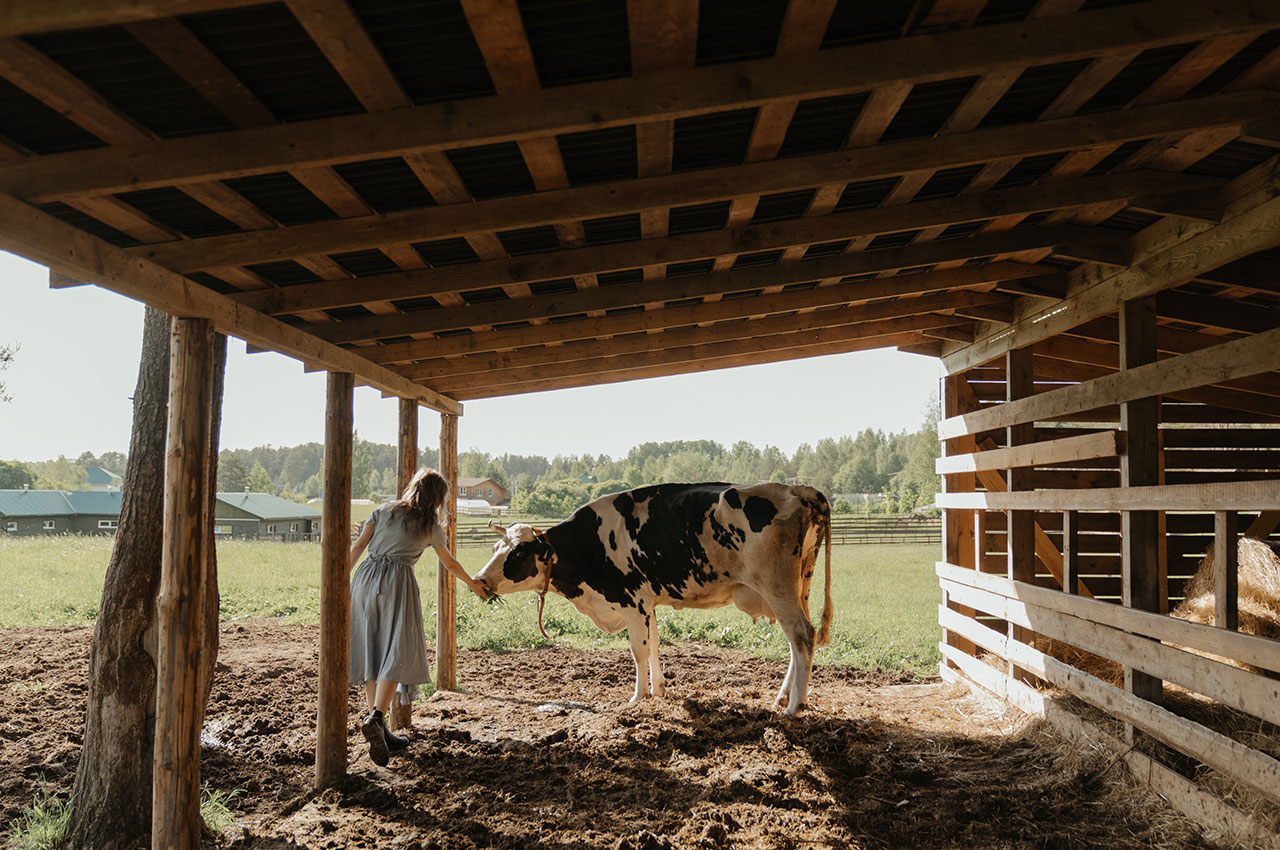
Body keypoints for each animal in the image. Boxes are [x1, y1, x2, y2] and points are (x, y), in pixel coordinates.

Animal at [471, 481, 829, 711]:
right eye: (496, 547)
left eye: (518, 553)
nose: (479, 579)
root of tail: (798, 490)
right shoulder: (648, 603)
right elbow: (654, 644)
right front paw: (658, 690)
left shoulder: (632, 602)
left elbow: (638, 651)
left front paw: (638, 696)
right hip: (800, 587)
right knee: (800, 643)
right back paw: (786, 697)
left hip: (778, 589)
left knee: (802, 636)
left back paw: (793, 707)